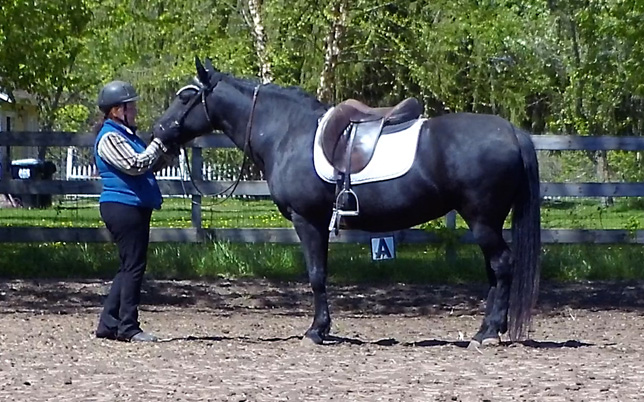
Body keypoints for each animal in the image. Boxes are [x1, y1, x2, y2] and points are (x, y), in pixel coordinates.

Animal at [153, 56, 540, 346]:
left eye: (186, 97)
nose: (158, 130)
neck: (287, 132)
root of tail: (512, 132)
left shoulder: (307, 220)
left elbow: (317, 274)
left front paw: (316, 331)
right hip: (486, 222)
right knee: (494, 271)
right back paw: (487, 329)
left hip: (482, 220)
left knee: (502, 265)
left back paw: (488, 333)